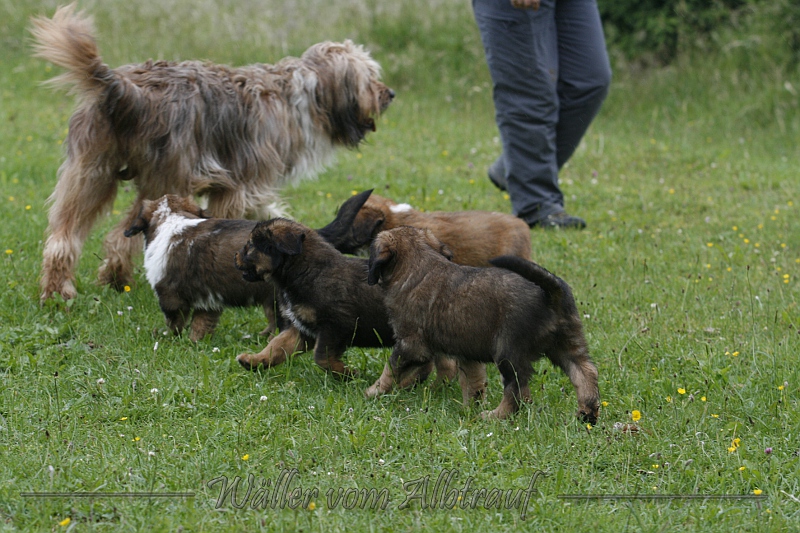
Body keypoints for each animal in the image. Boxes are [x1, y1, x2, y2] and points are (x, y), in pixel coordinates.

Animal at [31, 4, 394, 302]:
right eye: (370, 77)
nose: (389, 93)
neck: (297, 96)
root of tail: (123, 89)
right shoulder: (242, 186)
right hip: (165, 178)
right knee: (121, 238)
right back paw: (112, 279)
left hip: (89, 171)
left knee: (63, 238)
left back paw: (62, 291)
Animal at [124, 191, 373, 342]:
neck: (172, 220)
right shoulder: (207, 301)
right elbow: (201, 323)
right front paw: (196, 341)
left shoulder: (169, 296)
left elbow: (174, 321)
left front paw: (169, 338)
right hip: (269, 298)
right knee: (272, 319)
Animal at [233, 218, 460, 386]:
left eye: (250, 245)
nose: (235, 256)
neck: (306, 270)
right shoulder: (302, 329)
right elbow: (276, 346)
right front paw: (253, 360)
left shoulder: (336, 325)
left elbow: (321, 357)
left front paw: (347, 373)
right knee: (444, 364)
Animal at [366, 226, 600, 424]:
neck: (419, 264)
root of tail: (550, 293)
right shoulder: (467, 353)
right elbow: (473, 383)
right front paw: (470, 408)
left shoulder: (410, 345)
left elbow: (390, 369)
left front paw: (373, 391)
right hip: (568, 343)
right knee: (585, 372)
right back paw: (587, 413)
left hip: (508, 351)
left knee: (517, 389)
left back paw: (496, 415)